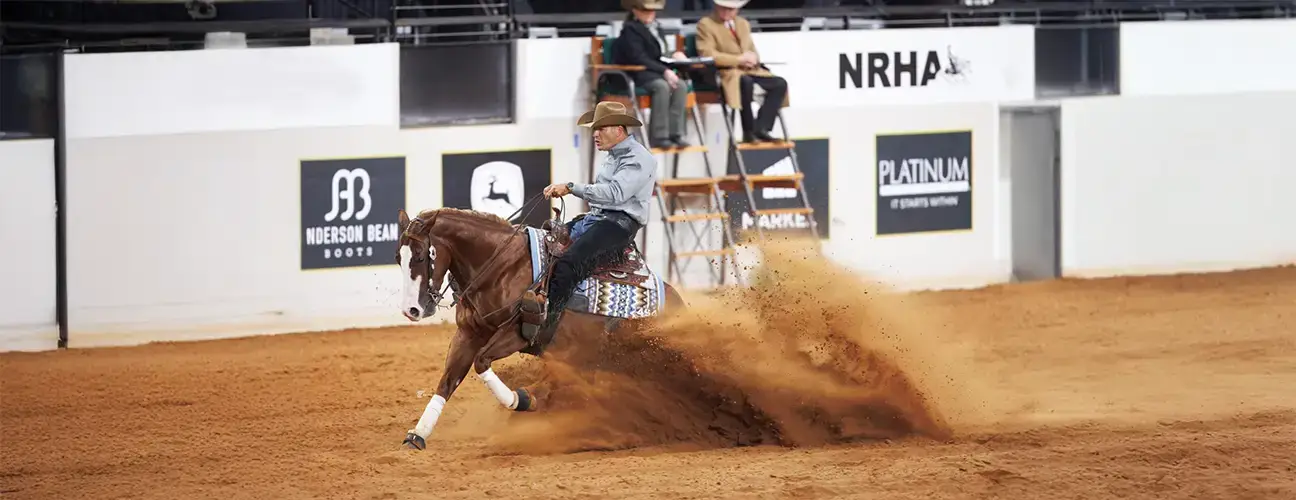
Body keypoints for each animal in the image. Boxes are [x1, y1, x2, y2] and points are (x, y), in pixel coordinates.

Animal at [393, 204, 686, 450]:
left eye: (420, 256)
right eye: (398, 257)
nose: (412, 310)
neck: (502, 266)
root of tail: (678, 303)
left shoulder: (518, 334)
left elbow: (481, 362)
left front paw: (522, 400)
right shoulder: (469, 333)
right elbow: (448, 381)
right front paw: (418, 434)